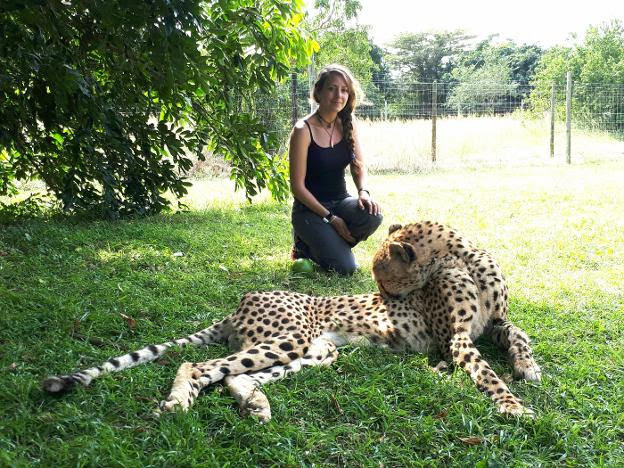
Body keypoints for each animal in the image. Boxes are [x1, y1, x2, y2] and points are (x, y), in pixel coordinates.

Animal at [372, 221, 544, 414]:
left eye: (383, 284)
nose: (382, 300)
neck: (462, 263)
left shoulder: (494, 322)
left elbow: (517, 333)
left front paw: (527, 365)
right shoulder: (454, 337)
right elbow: (483, 370)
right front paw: (510, 403)